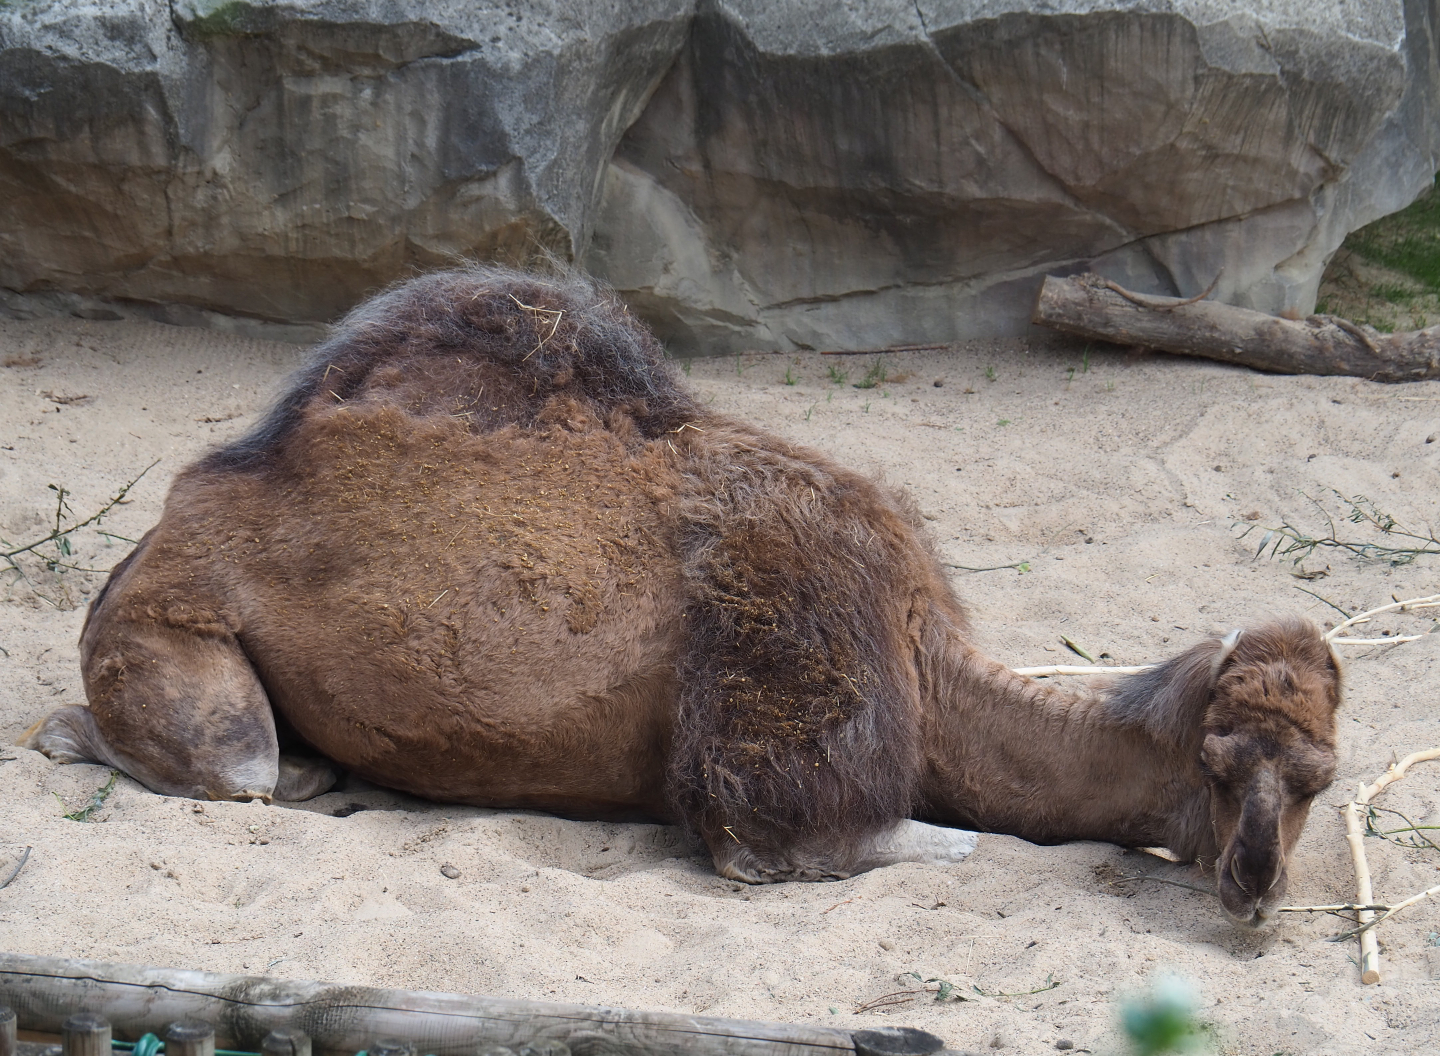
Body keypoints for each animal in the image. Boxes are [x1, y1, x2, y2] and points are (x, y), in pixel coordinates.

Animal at [20, 266, 1341, 927]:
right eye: (1221, 765)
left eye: (1322, 781)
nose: (1257, 882)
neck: (924, 646)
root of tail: (165, 527)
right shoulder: (779, 765)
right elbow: (938, 843)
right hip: (171, 639)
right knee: (223, 760)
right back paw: (142, 746)